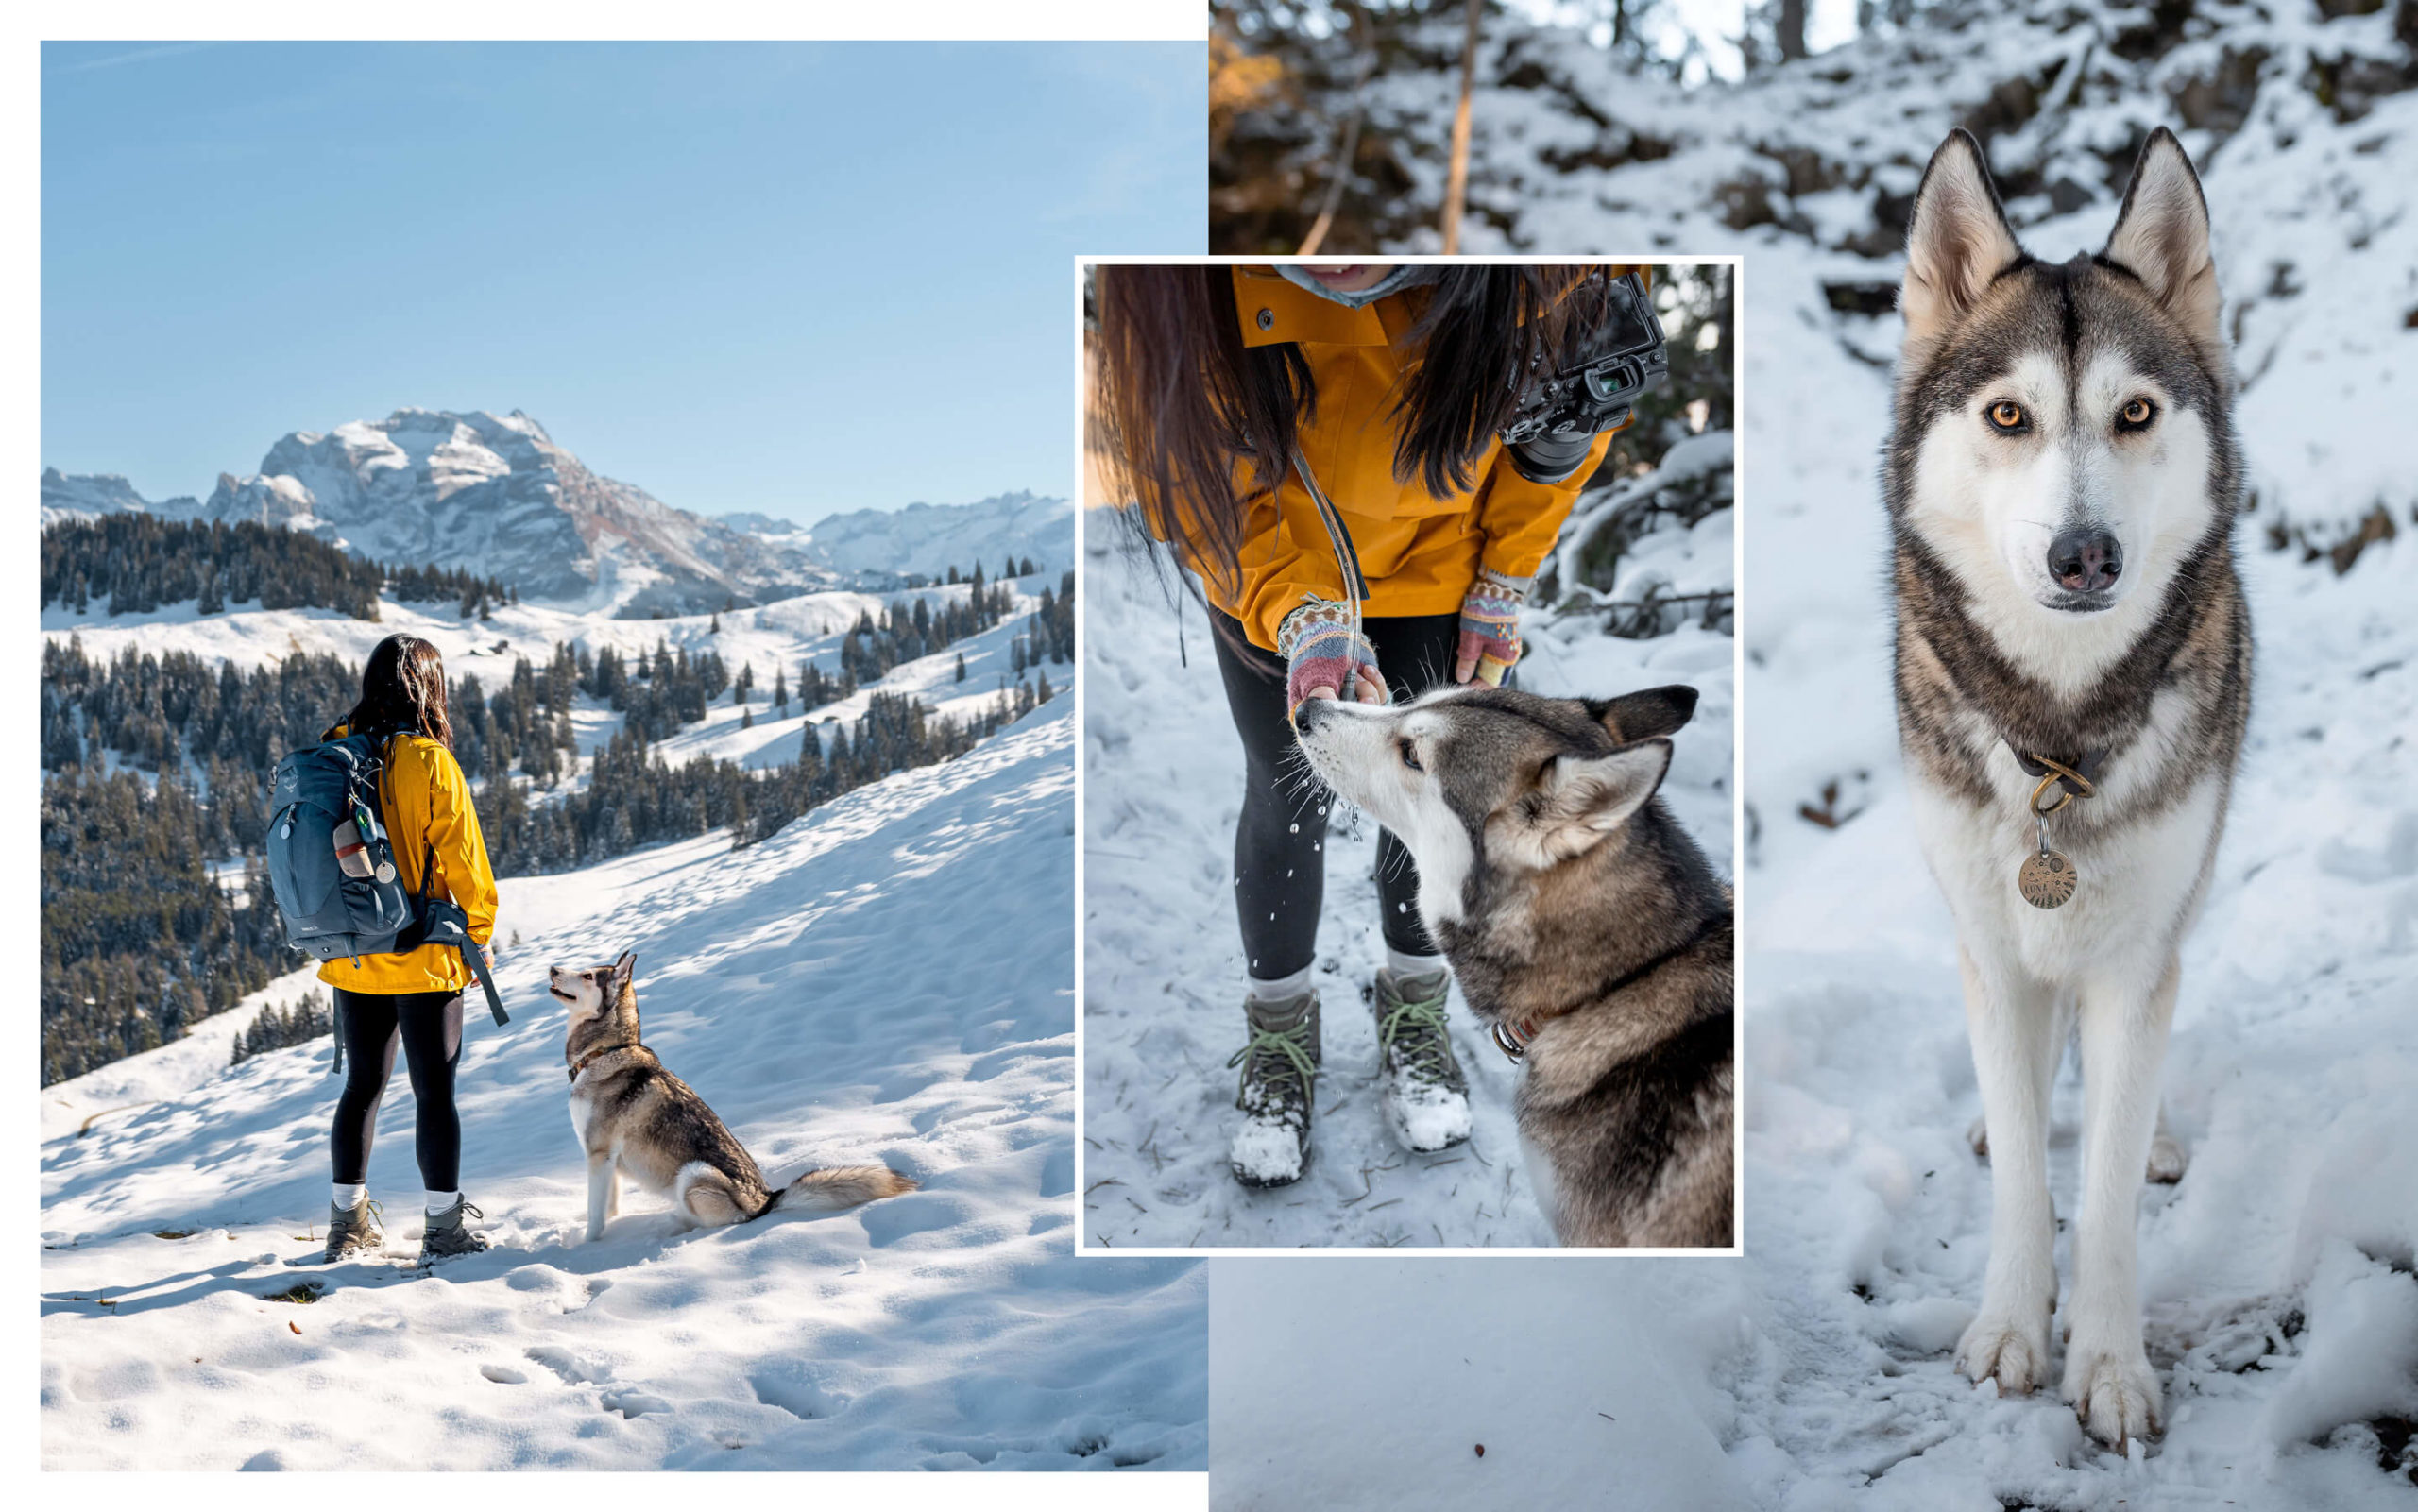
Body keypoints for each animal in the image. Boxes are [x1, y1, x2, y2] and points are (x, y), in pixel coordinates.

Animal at [553, 953, 918, 1238]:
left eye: (587, 975)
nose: (553, 968)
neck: (603, 1053)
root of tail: (767, 1200)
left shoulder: (598, 1155)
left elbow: (595, 1219)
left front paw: (587, 1248)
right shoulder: (607, 1160)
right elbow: (609, 1209)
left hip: (695, 1174)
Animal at [1885, 127, 2243, 1441]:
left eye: (2133, 412)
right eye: (2009, 414)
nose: (2082, 554)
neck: (2058, 736)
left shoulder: (2136, 954)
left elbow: (2104, 1193)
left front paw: (2109, 1362)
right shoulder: (1993, 945)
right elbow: (2032, 1178)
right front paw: (2007, 1328)